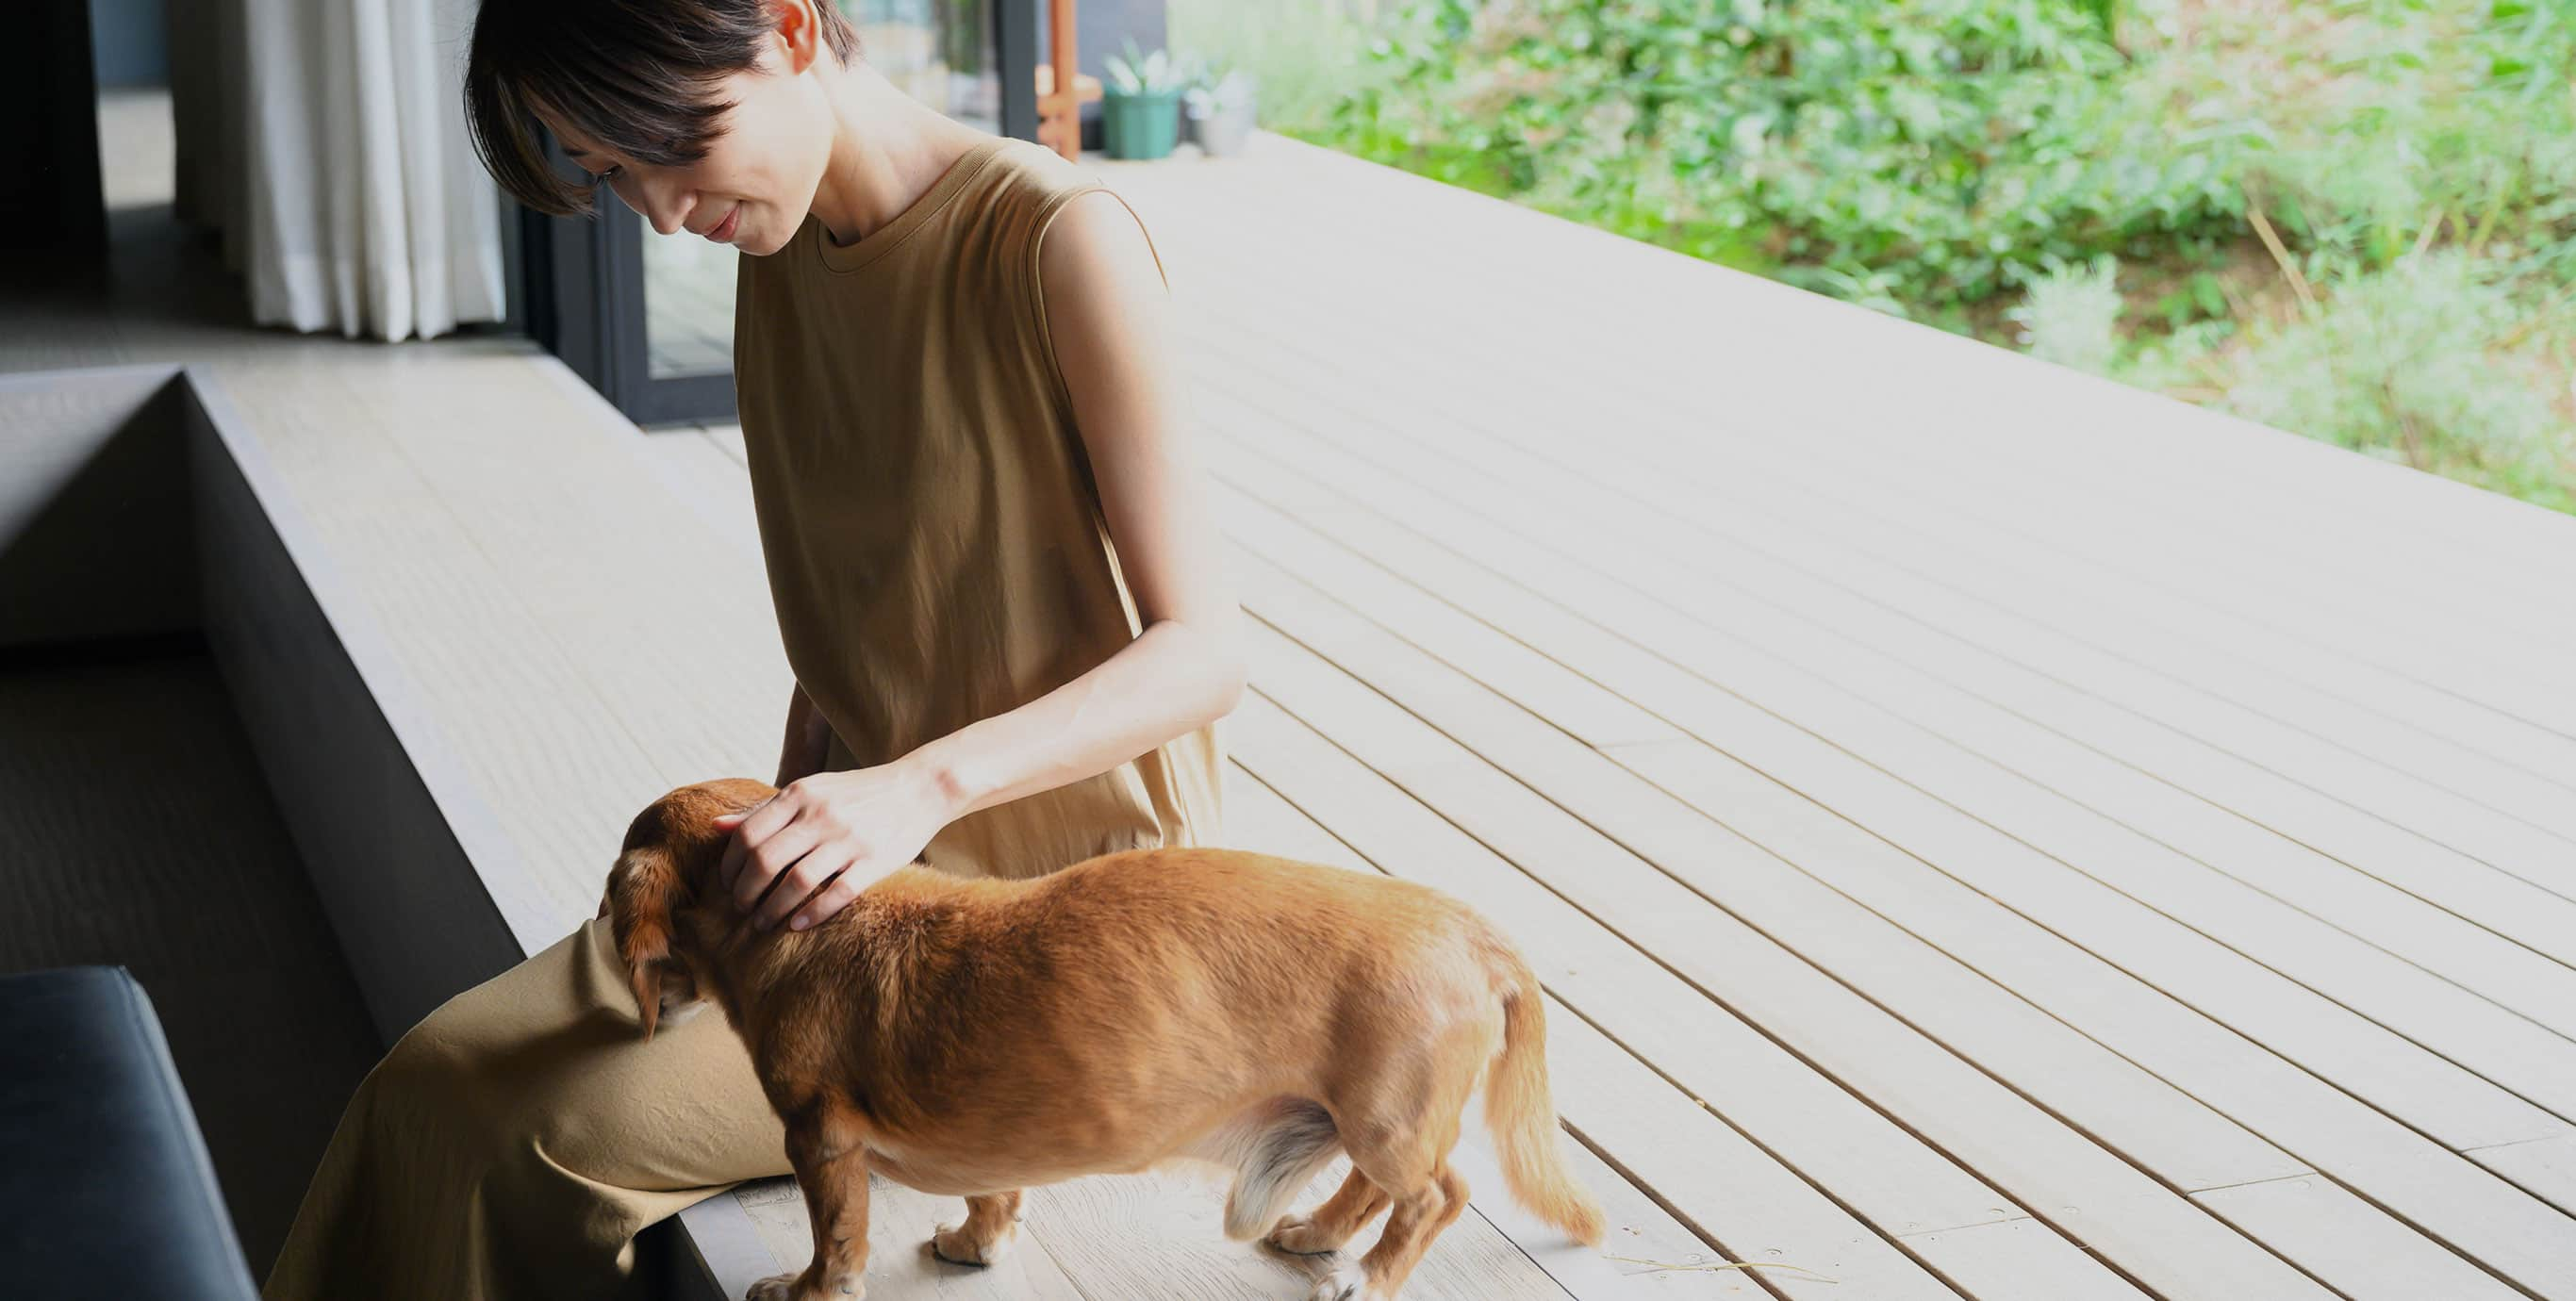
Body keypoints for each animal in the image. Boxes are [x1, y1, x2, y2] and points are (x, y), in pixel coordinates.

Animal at [605, 778, 1607, 1293]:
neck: (818, 920)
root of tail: (1473, 930)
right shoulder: (991, 1136)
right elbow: (992, 1194)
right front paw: (976, 1244)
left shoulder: (820, 1143)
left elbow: (836, 1243)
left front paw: (805, 1290)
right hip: (1361, 1119)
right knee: (1368, 1189)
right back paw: (1318, 1233)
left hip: (1389, 1119)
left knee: (1440, 1194)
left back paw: (1367, 1276)